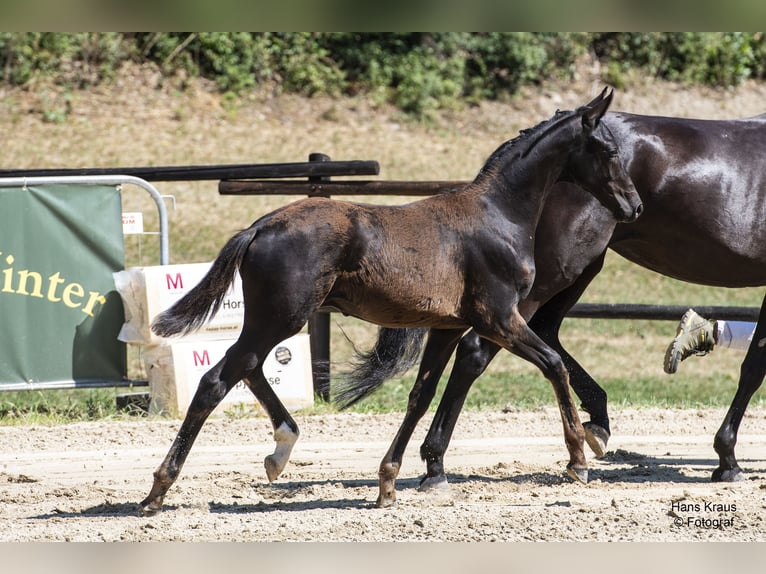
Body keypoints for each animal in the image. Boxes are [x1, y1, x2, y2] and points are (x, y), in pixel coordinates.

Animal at [136, 90, 640, 516]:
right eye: (609, 151)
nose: (633, 206)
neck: (498, 215)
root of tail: (260, 226)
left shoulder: (447, 326)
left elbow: (420, 396)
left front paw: (389, 482)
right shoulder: (498, 317)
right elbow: (554, 363)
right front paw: (579, 459)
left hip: (274, 318)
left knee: (248, 367)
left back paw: (279, 450)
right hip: (283, 315)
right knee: (217, 379)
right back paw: (157, 491)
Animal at [342, 110, 766, 506]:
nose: (635, 205)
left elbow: (754, 361)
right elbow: (754, 366)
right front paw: (727, 458)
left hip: (576, 270)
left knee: (538, 337)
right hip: (559, 269)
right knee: (480, 350)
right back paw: (438, 463)